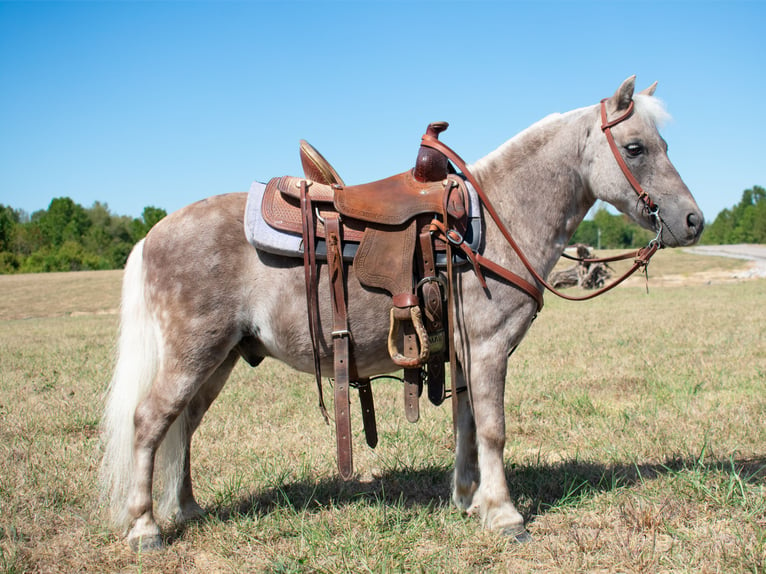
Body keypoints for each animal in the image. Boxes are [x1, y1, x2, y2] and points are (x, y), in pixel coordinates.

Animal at [103, 74, 708, 552]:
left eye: (665, 142)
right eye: (635, 148)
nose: (693, 220)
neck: (493, 222)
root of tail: (153, 234)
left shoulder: (464, 353)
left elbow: (466, 423)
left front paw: (469, 499)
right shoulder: (489, 348)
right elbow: (493, 428)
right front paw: (506, 516)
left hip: (220, 358)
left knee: (183, 425)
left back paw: (186, 509)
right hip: (192, 354)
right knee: (150, 421)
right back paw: (145, 528)